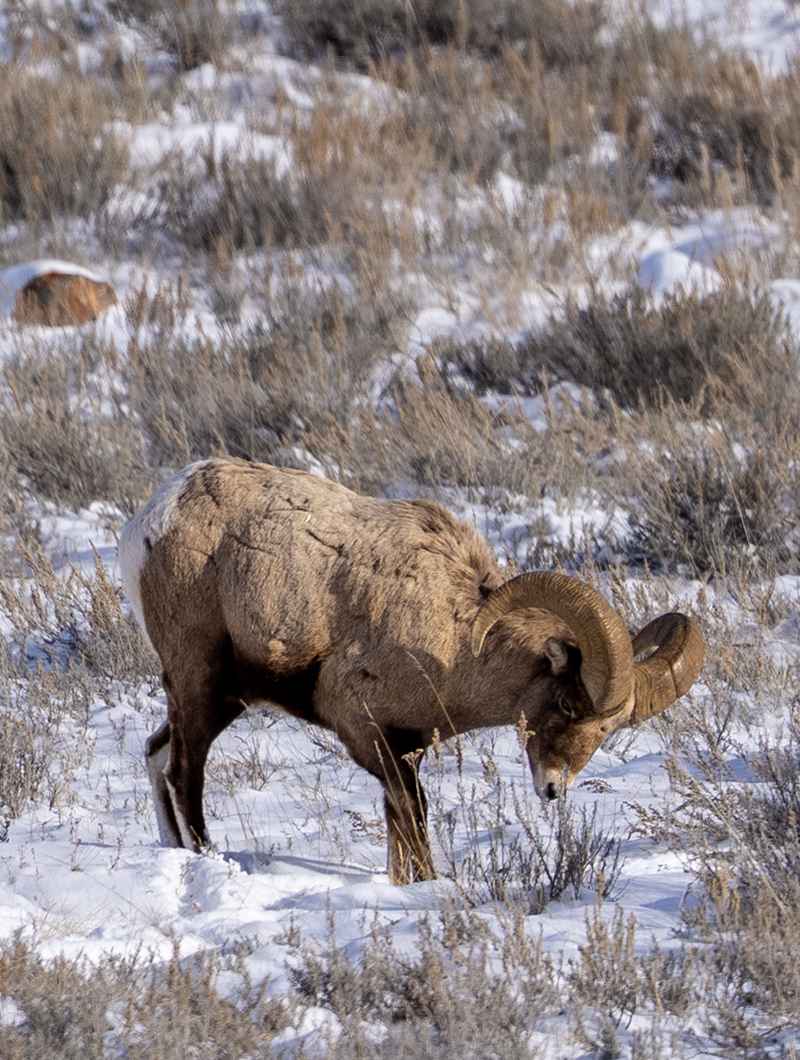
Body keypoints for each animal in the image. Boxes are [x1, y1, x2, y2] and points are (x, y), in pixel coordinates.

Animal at [119, 458, 705, 884]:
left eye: (607, 729)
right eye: (565, 704)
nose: (553, 790)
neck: (452, 640)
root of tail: (148, 523)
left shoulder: (407, 746)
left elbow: (398, 832)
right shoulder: (371, 735)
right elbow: (414, 821)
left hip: (224, 699)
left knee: (156, 755)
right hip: (201, 686)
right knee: (183, 774)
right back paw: (208, 860)